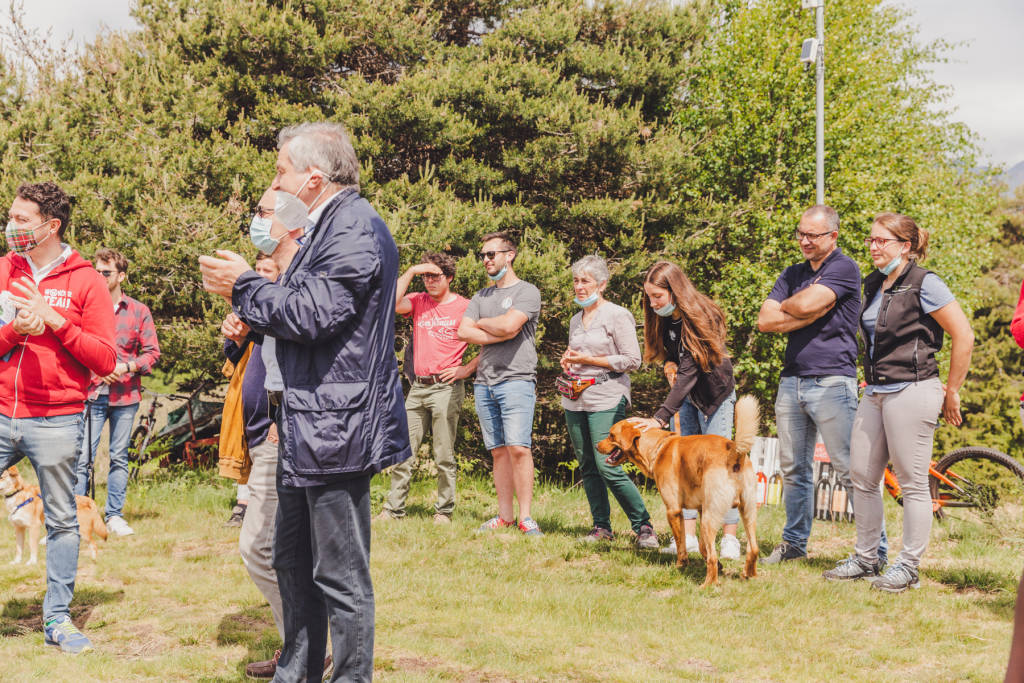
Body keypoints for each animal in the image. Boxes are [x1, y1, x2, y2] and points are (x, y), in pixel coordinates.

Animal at [598, 395, 757, 589]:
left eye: (611, 435)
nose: (596, 446)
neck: (657, 447)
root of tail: (735, 453)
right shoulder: (700, 509)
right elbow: (702, 546)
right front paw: (717, 564)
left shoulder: (673, 510)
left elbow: (682, 544)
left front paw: (681, 565)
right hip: (747, 512)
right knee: (753, 549)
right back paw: (749, 574)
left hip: (710, 517)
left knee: (713, 557)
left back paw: (707, 584)